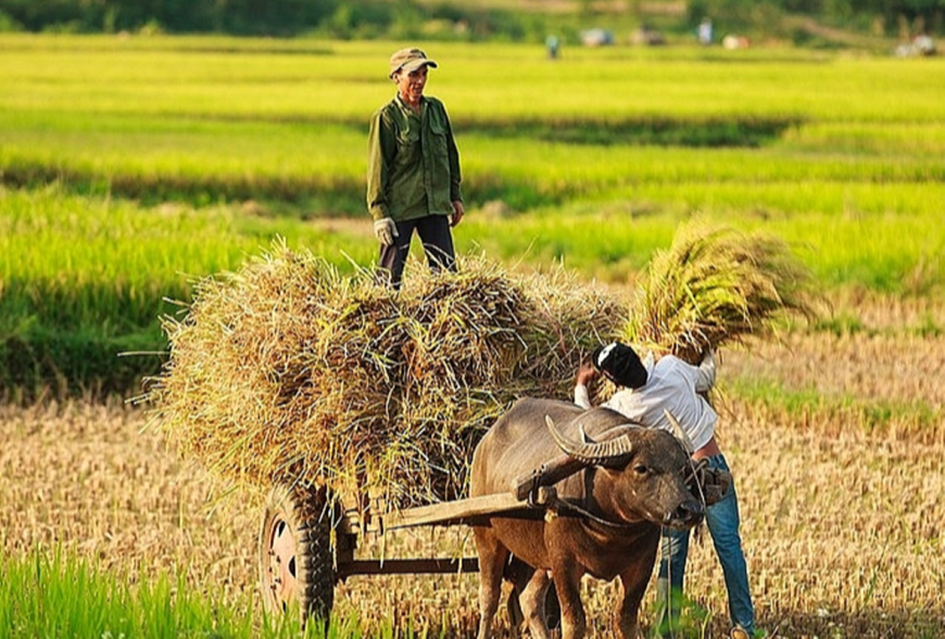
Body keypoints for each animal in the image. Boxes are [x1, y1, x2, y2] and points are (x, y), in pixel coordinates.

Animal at [472, 398, 700, 636]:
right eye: (641, 468)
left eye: (682, 467)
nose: (690, 510)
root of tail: (483, 445)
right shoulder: (563, 563)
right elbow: (574, 622)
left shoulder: (642, 565)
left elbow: (625, 620)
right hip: (486, 537)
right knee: (489, 598)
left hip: (537, 556)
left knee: (530, 599)